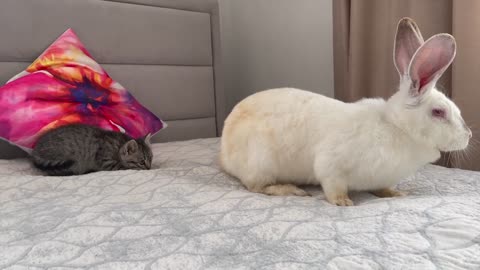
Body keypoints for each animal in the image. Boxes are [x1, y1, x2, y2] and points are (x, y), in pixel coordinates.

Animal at [220, 16, 472, 206]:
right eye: (438, 112)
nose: (468, 135)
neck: (397, 127)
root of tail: (223, 149)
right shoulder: (331, 165)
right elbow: (333, 186)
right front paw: (344, 202)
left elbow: (382, 187)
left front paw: (394, 193)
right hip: (261, 162)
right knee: (256, 186)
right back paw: (292, 189)